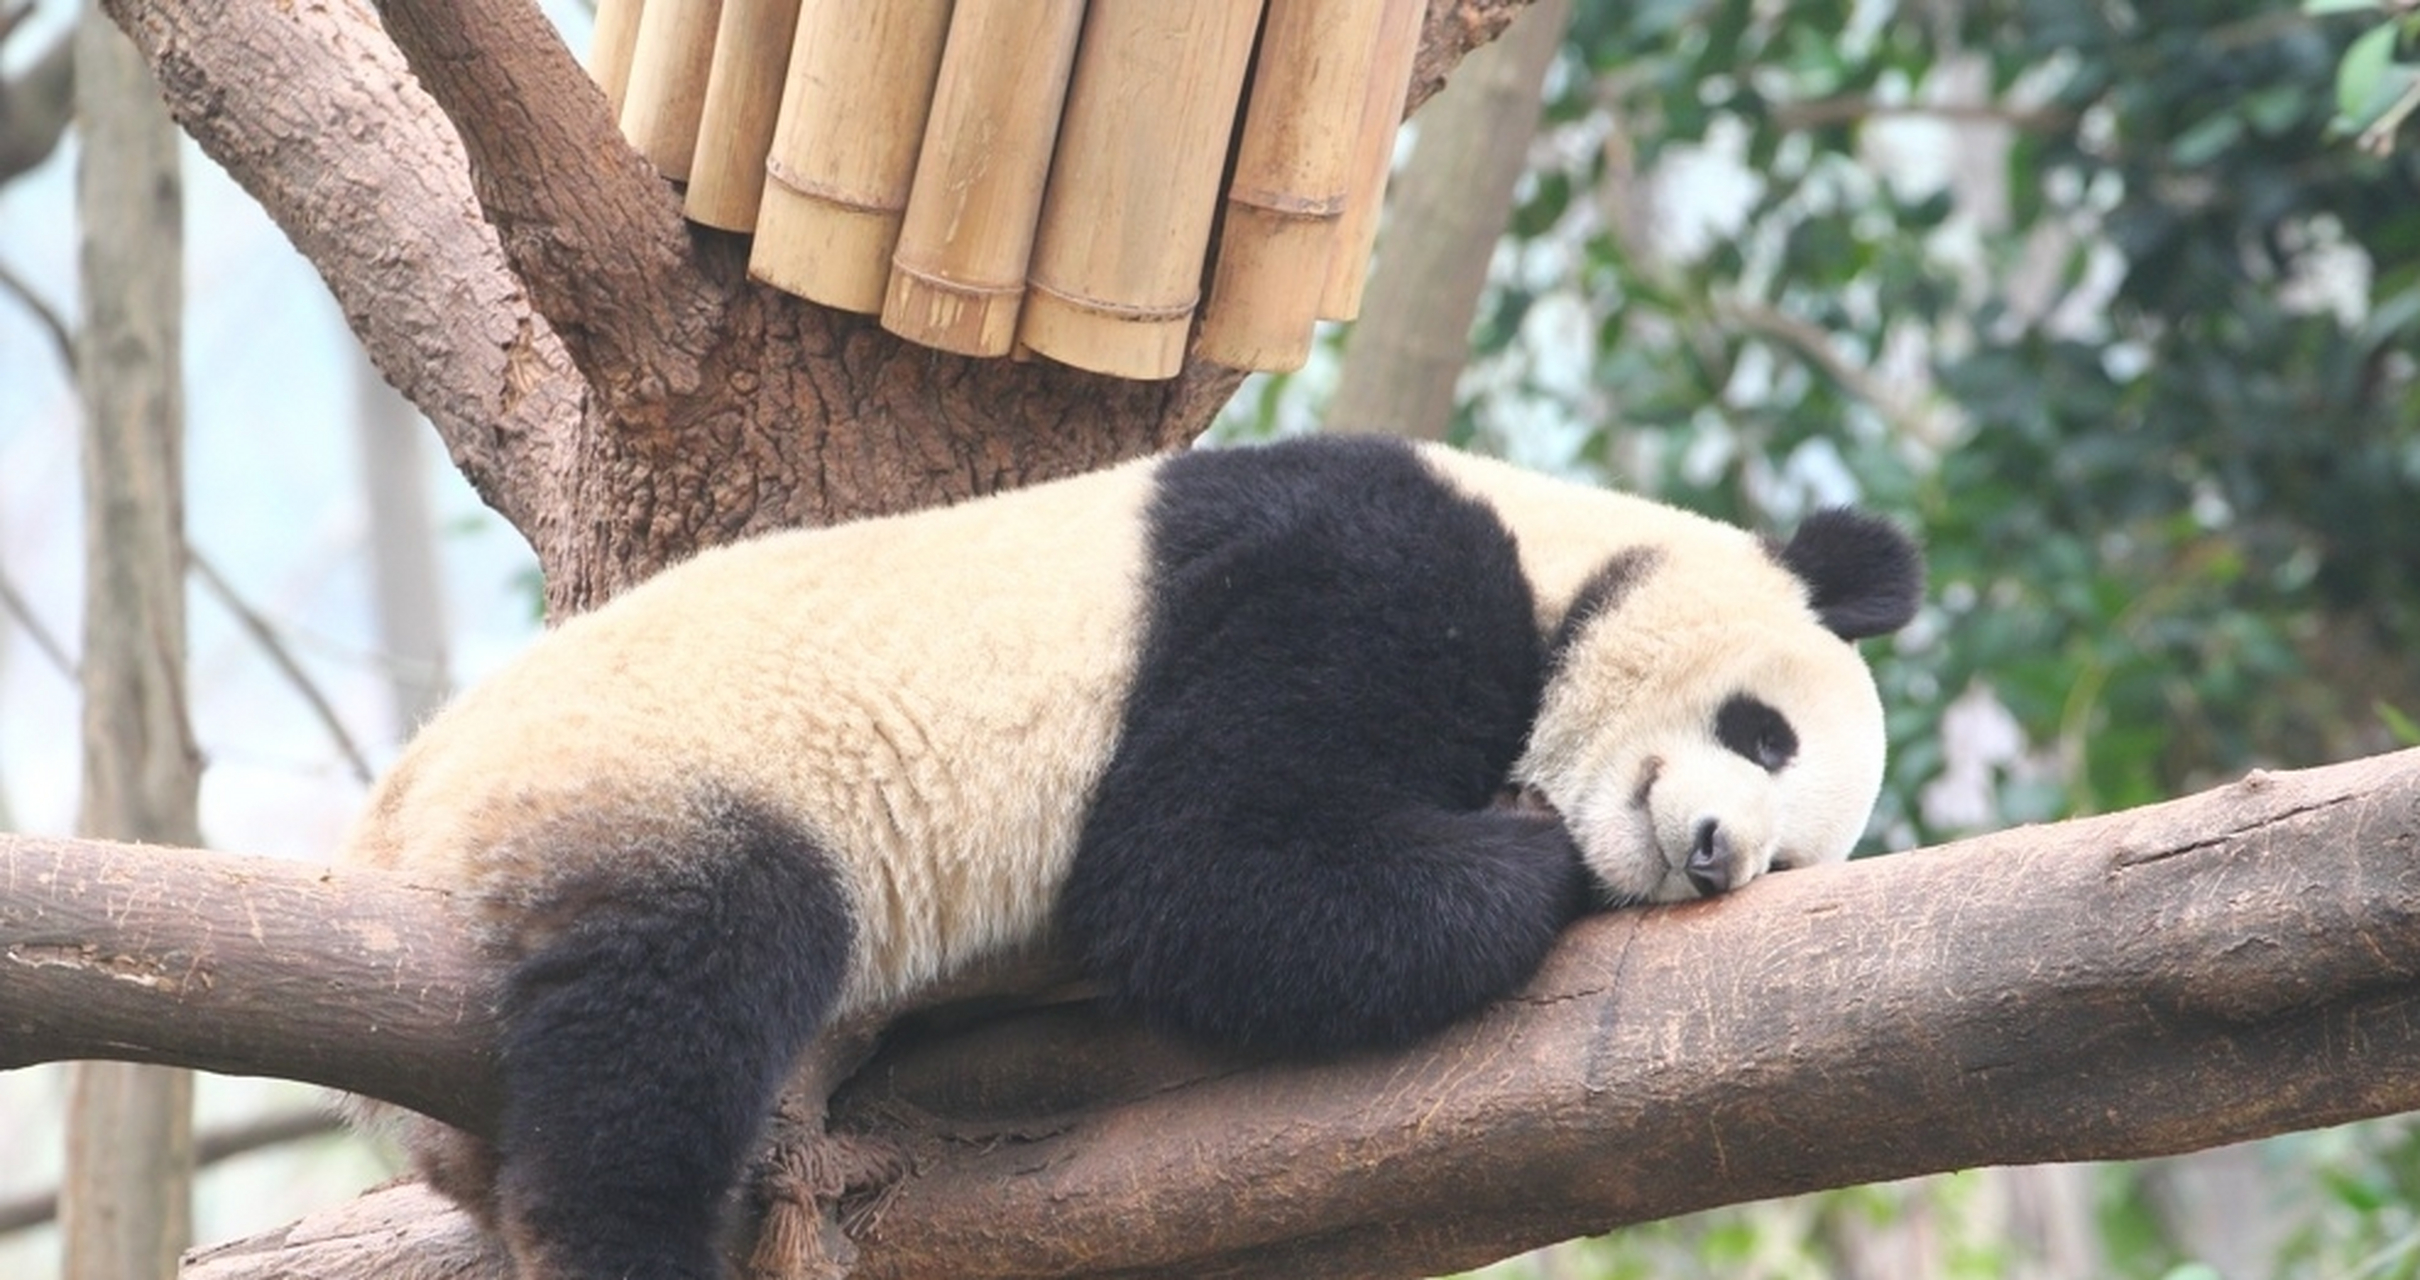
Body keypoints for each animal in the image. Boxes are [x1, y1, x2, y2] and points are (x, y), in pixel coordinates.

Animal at [346, 430, 1926, 1277]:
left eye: (1791, 867)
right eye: (1764, 731)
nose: (1714, 854)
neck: (1558, 547)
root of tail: (385, 824)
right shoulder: (1360, 565)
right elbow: (1199, 872)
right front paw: (1531, 851)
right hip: (664, 772)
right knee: (678, 1005)